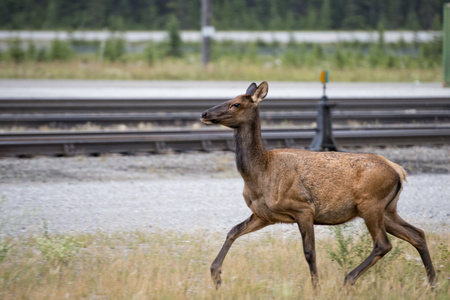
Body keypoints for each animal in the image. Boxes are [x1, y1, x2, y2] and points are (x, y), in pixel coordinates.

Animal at [200, 81, 436, 288]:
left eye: (236, 104)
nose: (204, 114)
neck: (260, 173)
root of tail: (398, 170)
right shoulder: (264, 215)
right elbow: (233, 231)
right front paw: (216, 274)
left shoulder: (303, 208)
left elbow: (309, 252)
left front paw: (316, 288)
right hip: (387, 209)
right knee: (417, 234)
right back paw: (433, 283)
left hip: (371, 203)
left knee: (383, 244)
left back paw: (348, 279)